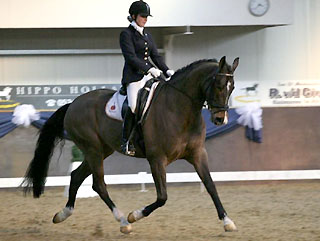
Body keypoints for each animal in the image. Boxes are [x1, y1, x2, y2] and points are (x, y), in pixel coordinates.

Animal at [23, 56, 238, 233]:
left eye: (232, 88)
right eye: (219, 85)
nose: (220, 119)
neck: (179, 109)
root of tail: (73, 104)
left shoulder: (198, 154)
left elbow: (210, 185)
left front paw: (227, 221)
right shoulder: (156, 159)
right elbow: (162, 197)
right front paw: (134, 215)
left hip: (102, 150)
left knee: (76, 176)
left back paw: (62, 214)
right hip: (93, 149)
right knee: (98, 184)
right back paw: (123, 222)